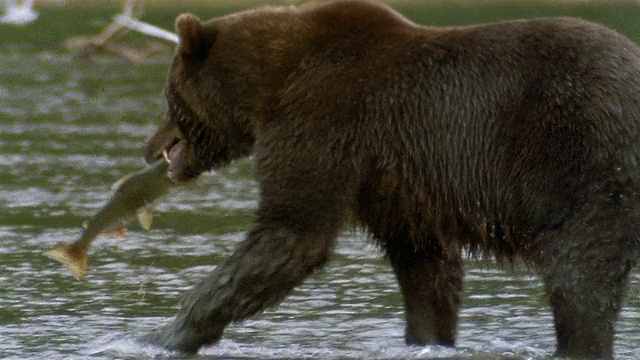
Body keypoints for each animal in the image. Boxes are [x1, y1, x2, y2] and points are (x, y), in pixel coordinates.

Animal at [142, 1, 640, 358]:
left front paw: (164, 334)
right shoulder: (395, 183)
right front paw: (428, 337)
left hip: (585, 159)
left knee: (579, 274)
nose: (151, 148)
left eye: (168, 96)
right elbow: (425, 267)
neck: (267, 87)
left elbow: (291, 232)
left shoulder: (324, 119)